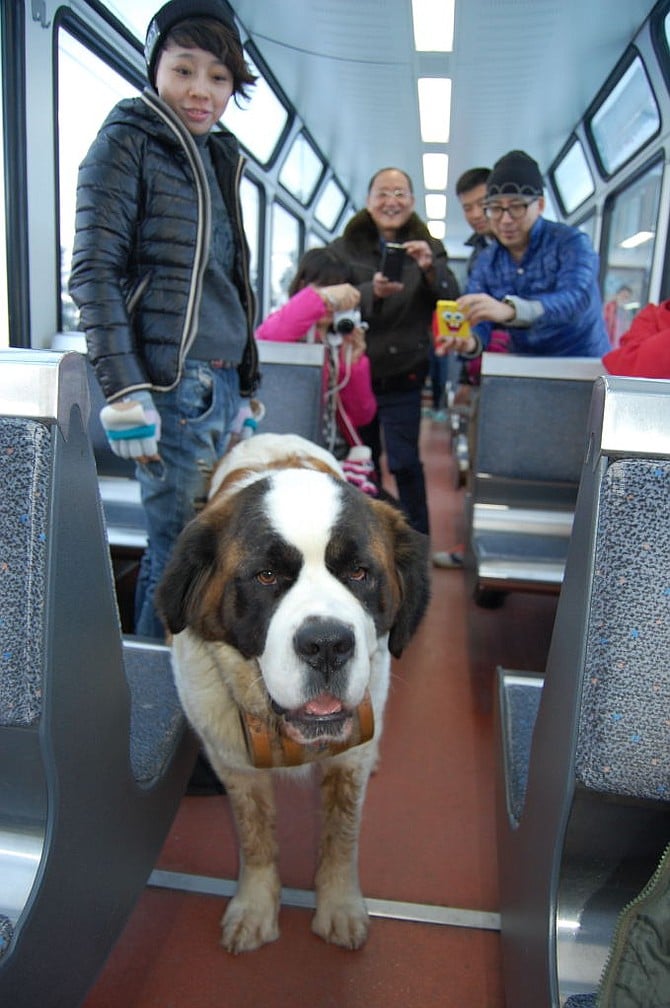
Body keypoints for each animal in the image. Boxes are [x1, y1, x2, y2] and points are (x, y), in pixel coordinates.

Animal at [155, 433, 429, 951]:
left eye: (359, 573)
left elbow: (342, 833)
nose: (327, 645)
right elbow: (255, 835)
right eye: (266, 577)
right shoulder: (234, 763)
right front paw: (255, 908)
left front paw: (340, 907)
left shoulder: (349, 759)